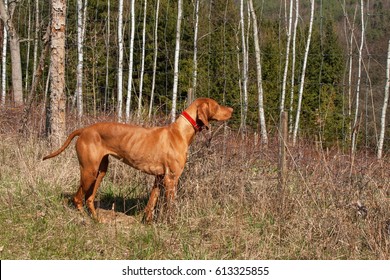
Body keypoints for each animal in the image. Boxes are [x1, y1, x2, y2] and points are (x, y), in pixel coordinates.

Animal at [43, 98, 232, 223]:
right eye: (217, 105)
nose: (232, 109)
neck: (180, 132)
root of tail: (84, 129)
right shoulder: (171, 179)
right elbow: (170, 206)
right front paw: (172, 224)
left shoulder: (159, 178)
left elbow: (151, 203)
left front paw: (147, 222)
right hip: (89, 171)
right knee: (77, 198)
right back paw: (84, 219)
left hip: (100, 171)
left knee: (89, 198)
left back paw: (97, 219)